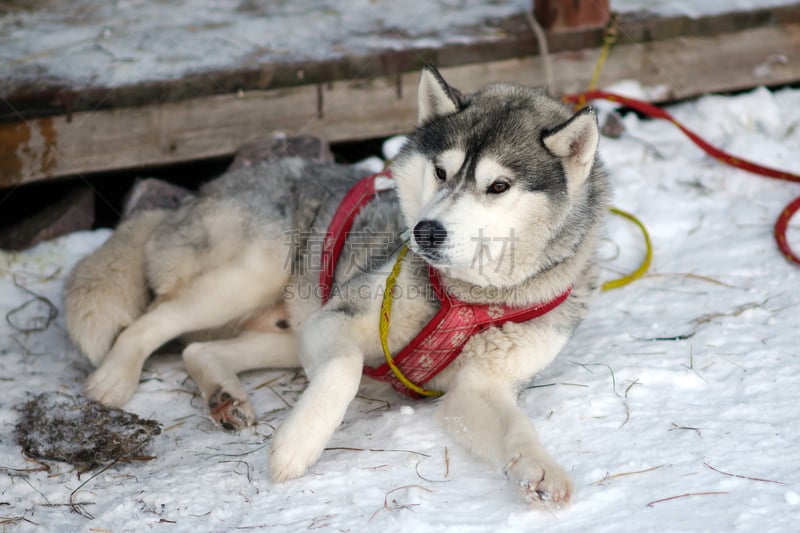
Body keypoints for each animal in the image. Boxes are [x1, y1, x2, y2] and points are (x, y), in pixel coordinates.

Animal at [65, 66, 608, 502]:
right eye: (440, 171)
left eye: (498, 186)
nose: (425, 231)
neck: (471, 296)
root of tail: (189, 198)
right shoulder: (341, 318)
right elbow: (344, 369)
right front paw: (296, 447)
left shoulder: (479, 387)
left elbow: (516, 427)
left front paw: (540, 469)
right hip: (255, 271)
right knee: (146, 324)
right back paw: (115, 379)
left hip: (289, 331)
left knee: (199, 349)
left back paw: (224, 395)